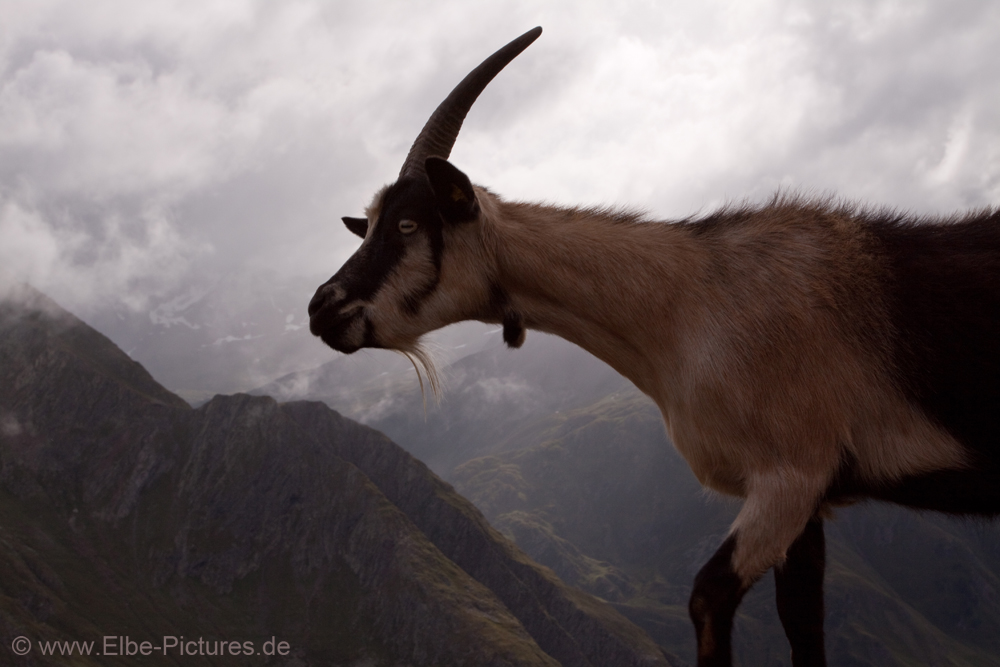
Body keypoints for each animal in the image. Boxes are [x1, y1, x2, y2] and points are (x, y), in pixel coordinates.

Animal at [308, 27, 1000, 667]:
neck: (687, 302)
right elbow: (803, 626)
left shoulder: (790, 476)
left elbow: (706, 599)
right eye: (368, 226)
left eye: (407, 225)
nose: (322, 309)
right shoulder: (810, 503)